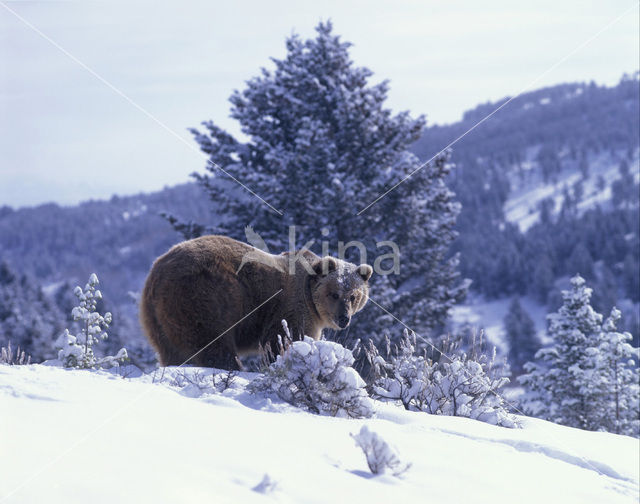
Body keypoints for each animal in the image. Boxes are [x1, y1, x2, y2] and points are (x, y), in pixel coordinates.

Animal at [138, 234, 372, 368]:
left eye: (354, 296)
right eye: (334, 293)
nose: (343, 318)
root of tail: (157, 272)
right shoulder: (291, 308)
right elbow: (283, 339)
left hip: (159, 320)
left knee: (172, 351)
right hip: (207, 297)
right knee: (212, 343)